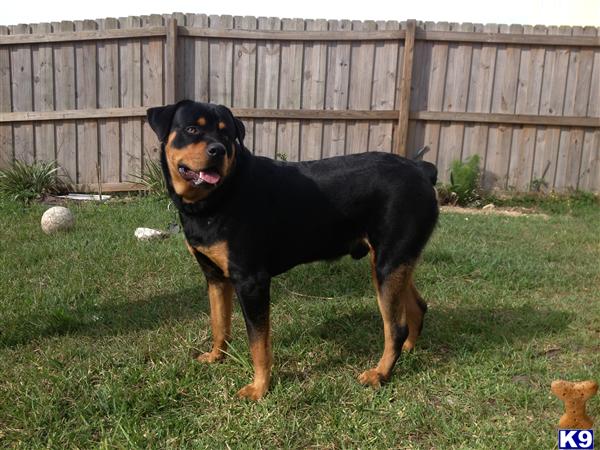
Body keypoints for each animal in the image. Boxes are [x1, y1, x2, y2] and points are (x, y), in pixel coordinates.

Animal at [145, 100, 436, 400]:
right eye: (192, 129)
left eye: (226, 135)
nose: (218, 150)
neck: (218, 197)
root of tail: (421, 170)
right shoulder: (215, 277)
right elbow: (219, 323)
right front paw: (217, 357)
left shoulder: (251, 281)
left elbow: (258, 343)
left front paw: (259, 388)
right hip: (394, 262)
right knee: (417, 306)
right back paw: (408, 350)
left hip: (388, 263)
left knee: (395, 327)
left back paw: (380, 373)